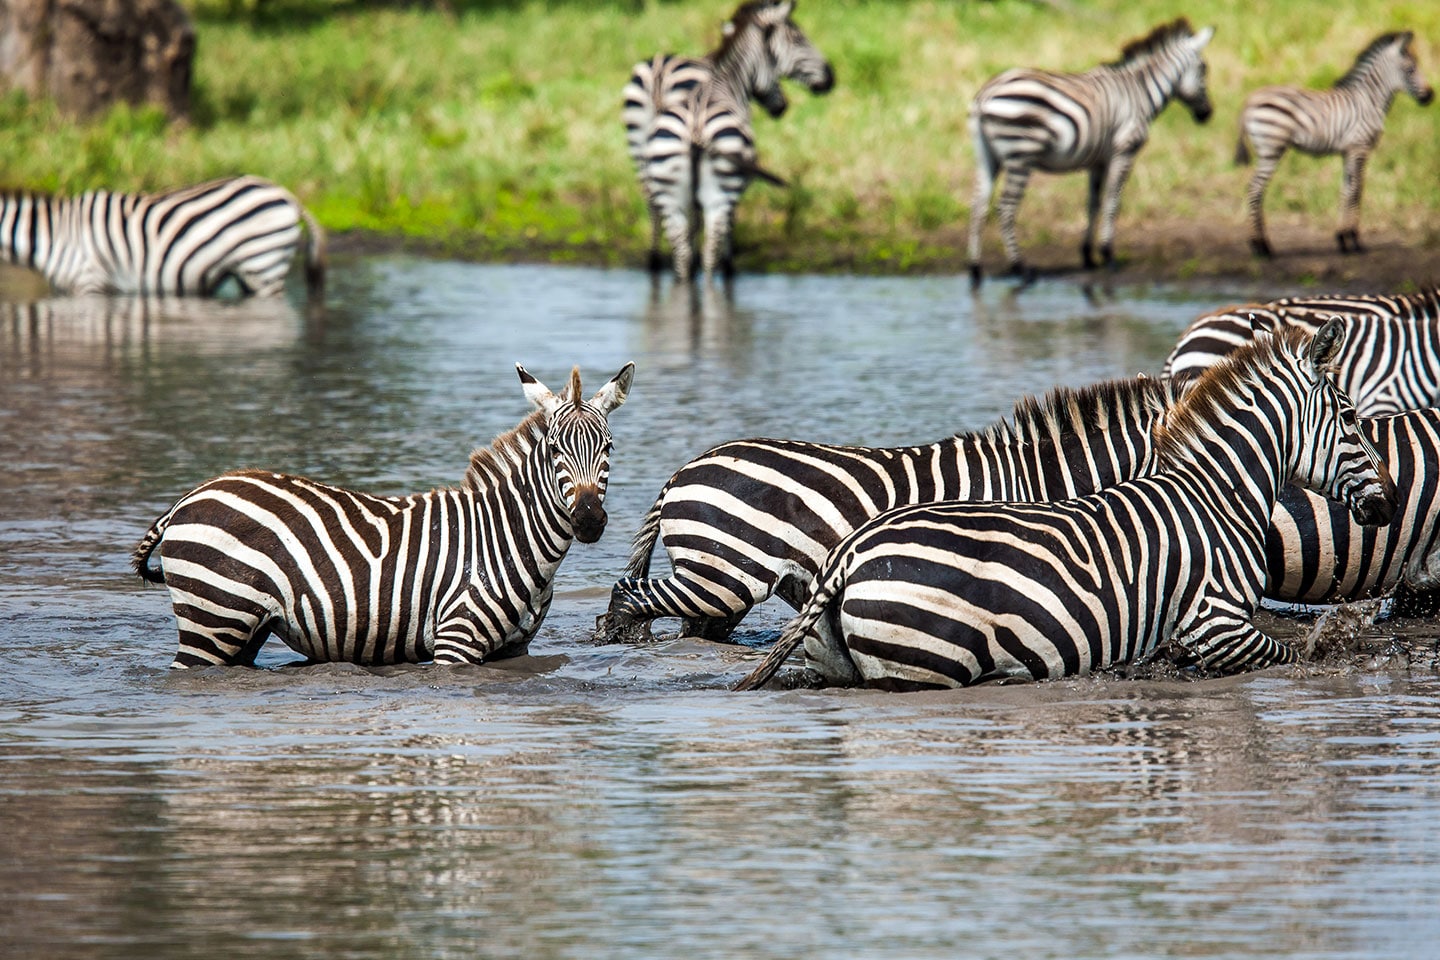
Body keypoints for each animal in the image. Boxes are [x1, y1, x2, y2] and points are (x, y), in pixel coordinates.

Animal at [132, 362, 634, 668]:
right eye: (554, 451)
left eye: (609, 449)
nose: (589, 520)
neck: (508, 538)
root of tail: (189, 497)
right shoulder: (455, 641)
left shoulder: (515, 649)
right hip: (213, 617)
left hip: (243, 629)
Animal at [637, 0, 833, 282]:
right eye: (798, 38)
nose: (831, 78)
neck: (726, 83)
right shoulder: (737, 186)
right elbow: (728, 230)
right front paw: (730, 264)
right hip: (719, 193)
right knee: (710, 253)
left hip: (668, 189)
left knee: (679, 250)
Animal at [735, 321, 1398, 692]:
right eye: (1350, 418)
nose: (1389, 503)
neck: (1216, 494)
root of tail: (849, 555)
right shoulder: (1216, 624)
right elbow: (1293, 656)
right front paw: (1346, 651)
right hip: (924, 664)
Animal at [966, 18, 1214, 288]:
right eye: (1204, 69)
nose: (1207, 115)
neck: (1140, 92)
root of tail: (985, 94)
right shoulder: (1124, 151)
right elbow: (1113, 202)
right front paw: (1108, 255)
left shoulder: (1098, 161)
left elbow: (1093, 203)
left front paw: (1088, 256)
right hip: (1021, 154)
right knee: (1006, 207)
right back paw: (1021, 268)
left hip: (987, 156)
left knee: (978, 205)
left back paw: (975, 269)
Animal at [1236, 31, 1433, 258]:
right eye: (1410, 69)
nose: (1430, 96)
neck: (1369, 100)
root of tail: (1250, 100)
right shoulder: (1359, 148)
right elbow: (1357, 190)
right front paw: (1354, 240)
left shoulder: (1348, 151)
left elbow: (1346, 189)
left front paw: (1342, 239)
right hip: (1271, 149)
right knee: (1255, 190)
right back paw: (1262, 246)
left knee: (1255, 190)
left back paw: (1259, 244)